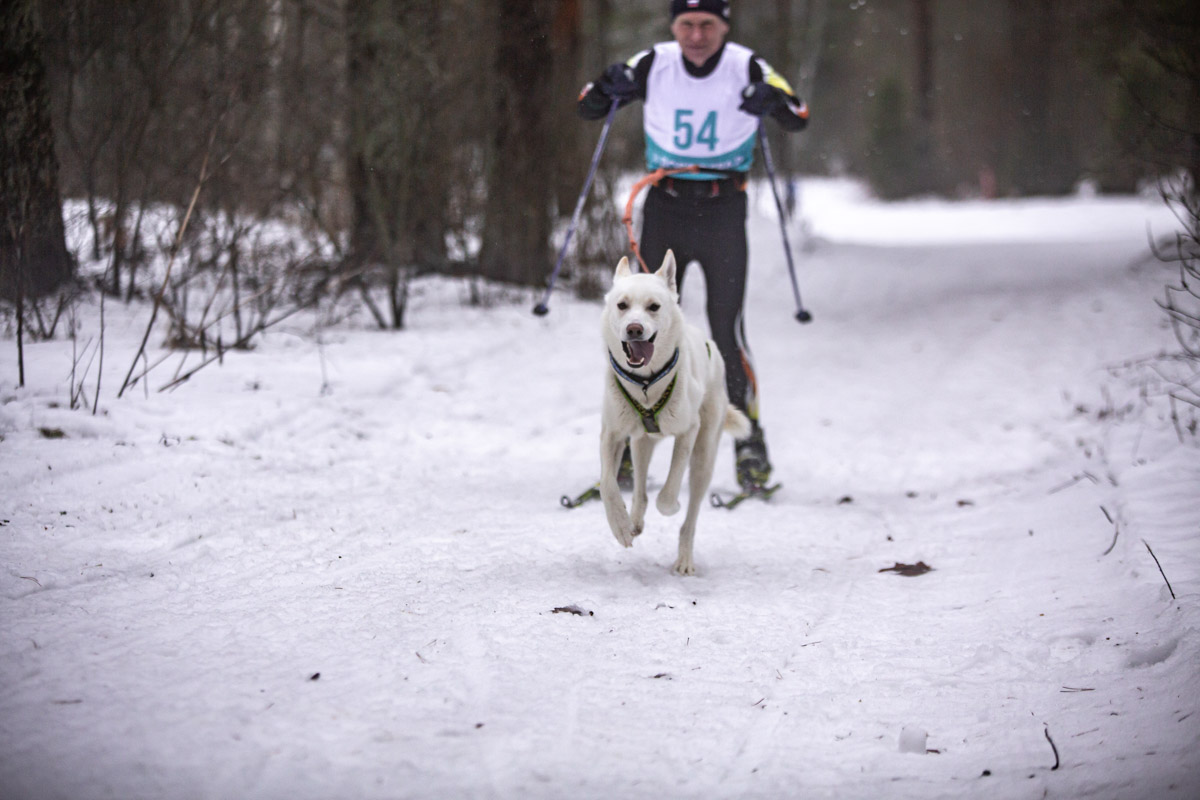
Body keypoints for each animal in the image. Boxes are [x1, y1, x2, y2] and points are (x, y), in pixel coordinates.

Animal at [600, 250, 748, 575]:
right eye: (622, 305)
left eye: (653, 307)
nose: (634, 329)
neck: (646, 385)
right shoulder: (612, 433)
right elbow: (607, 484)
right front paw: (620, 525)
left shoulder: (688, 431)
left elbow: (670, 490)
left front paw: (670, 506)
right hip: (641, 444)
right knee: (640, 489)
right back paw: (635, 521)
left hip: (704, 455)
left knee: (689, 518)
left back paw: (684, 560)